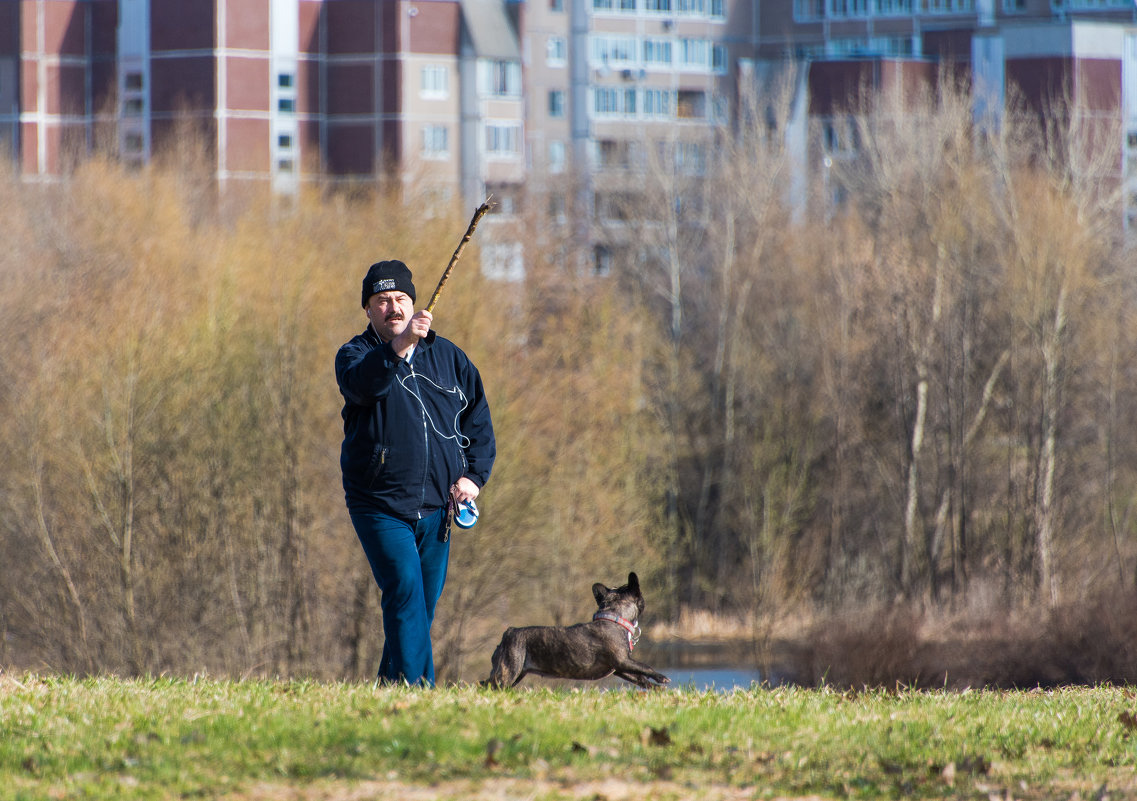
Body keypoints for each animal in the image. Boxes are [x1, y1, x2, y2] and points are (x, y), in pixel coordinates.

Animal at [484, 568, 668, 687]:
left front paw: (656, 689)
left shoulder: (620, 667)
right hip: (509, 671)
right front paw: (661, 677)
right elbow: (645, 666)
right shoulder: (622, 660)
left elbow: (639, 677)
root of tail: (509, 632)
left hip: (515, 673)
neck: (614, 616)